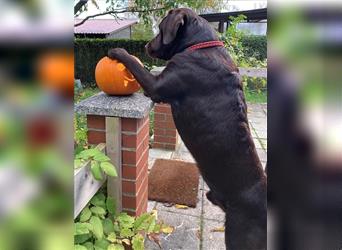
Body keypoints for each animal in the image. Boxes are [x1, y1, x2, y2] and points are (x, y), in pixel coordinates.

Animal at [109, 7, 268, 250]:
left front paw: (117, 51)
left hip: (240, 236)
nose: (146, 45)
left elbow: (136, 64)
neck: (201, 46)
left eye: (161, 28)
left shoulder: (156, 86)